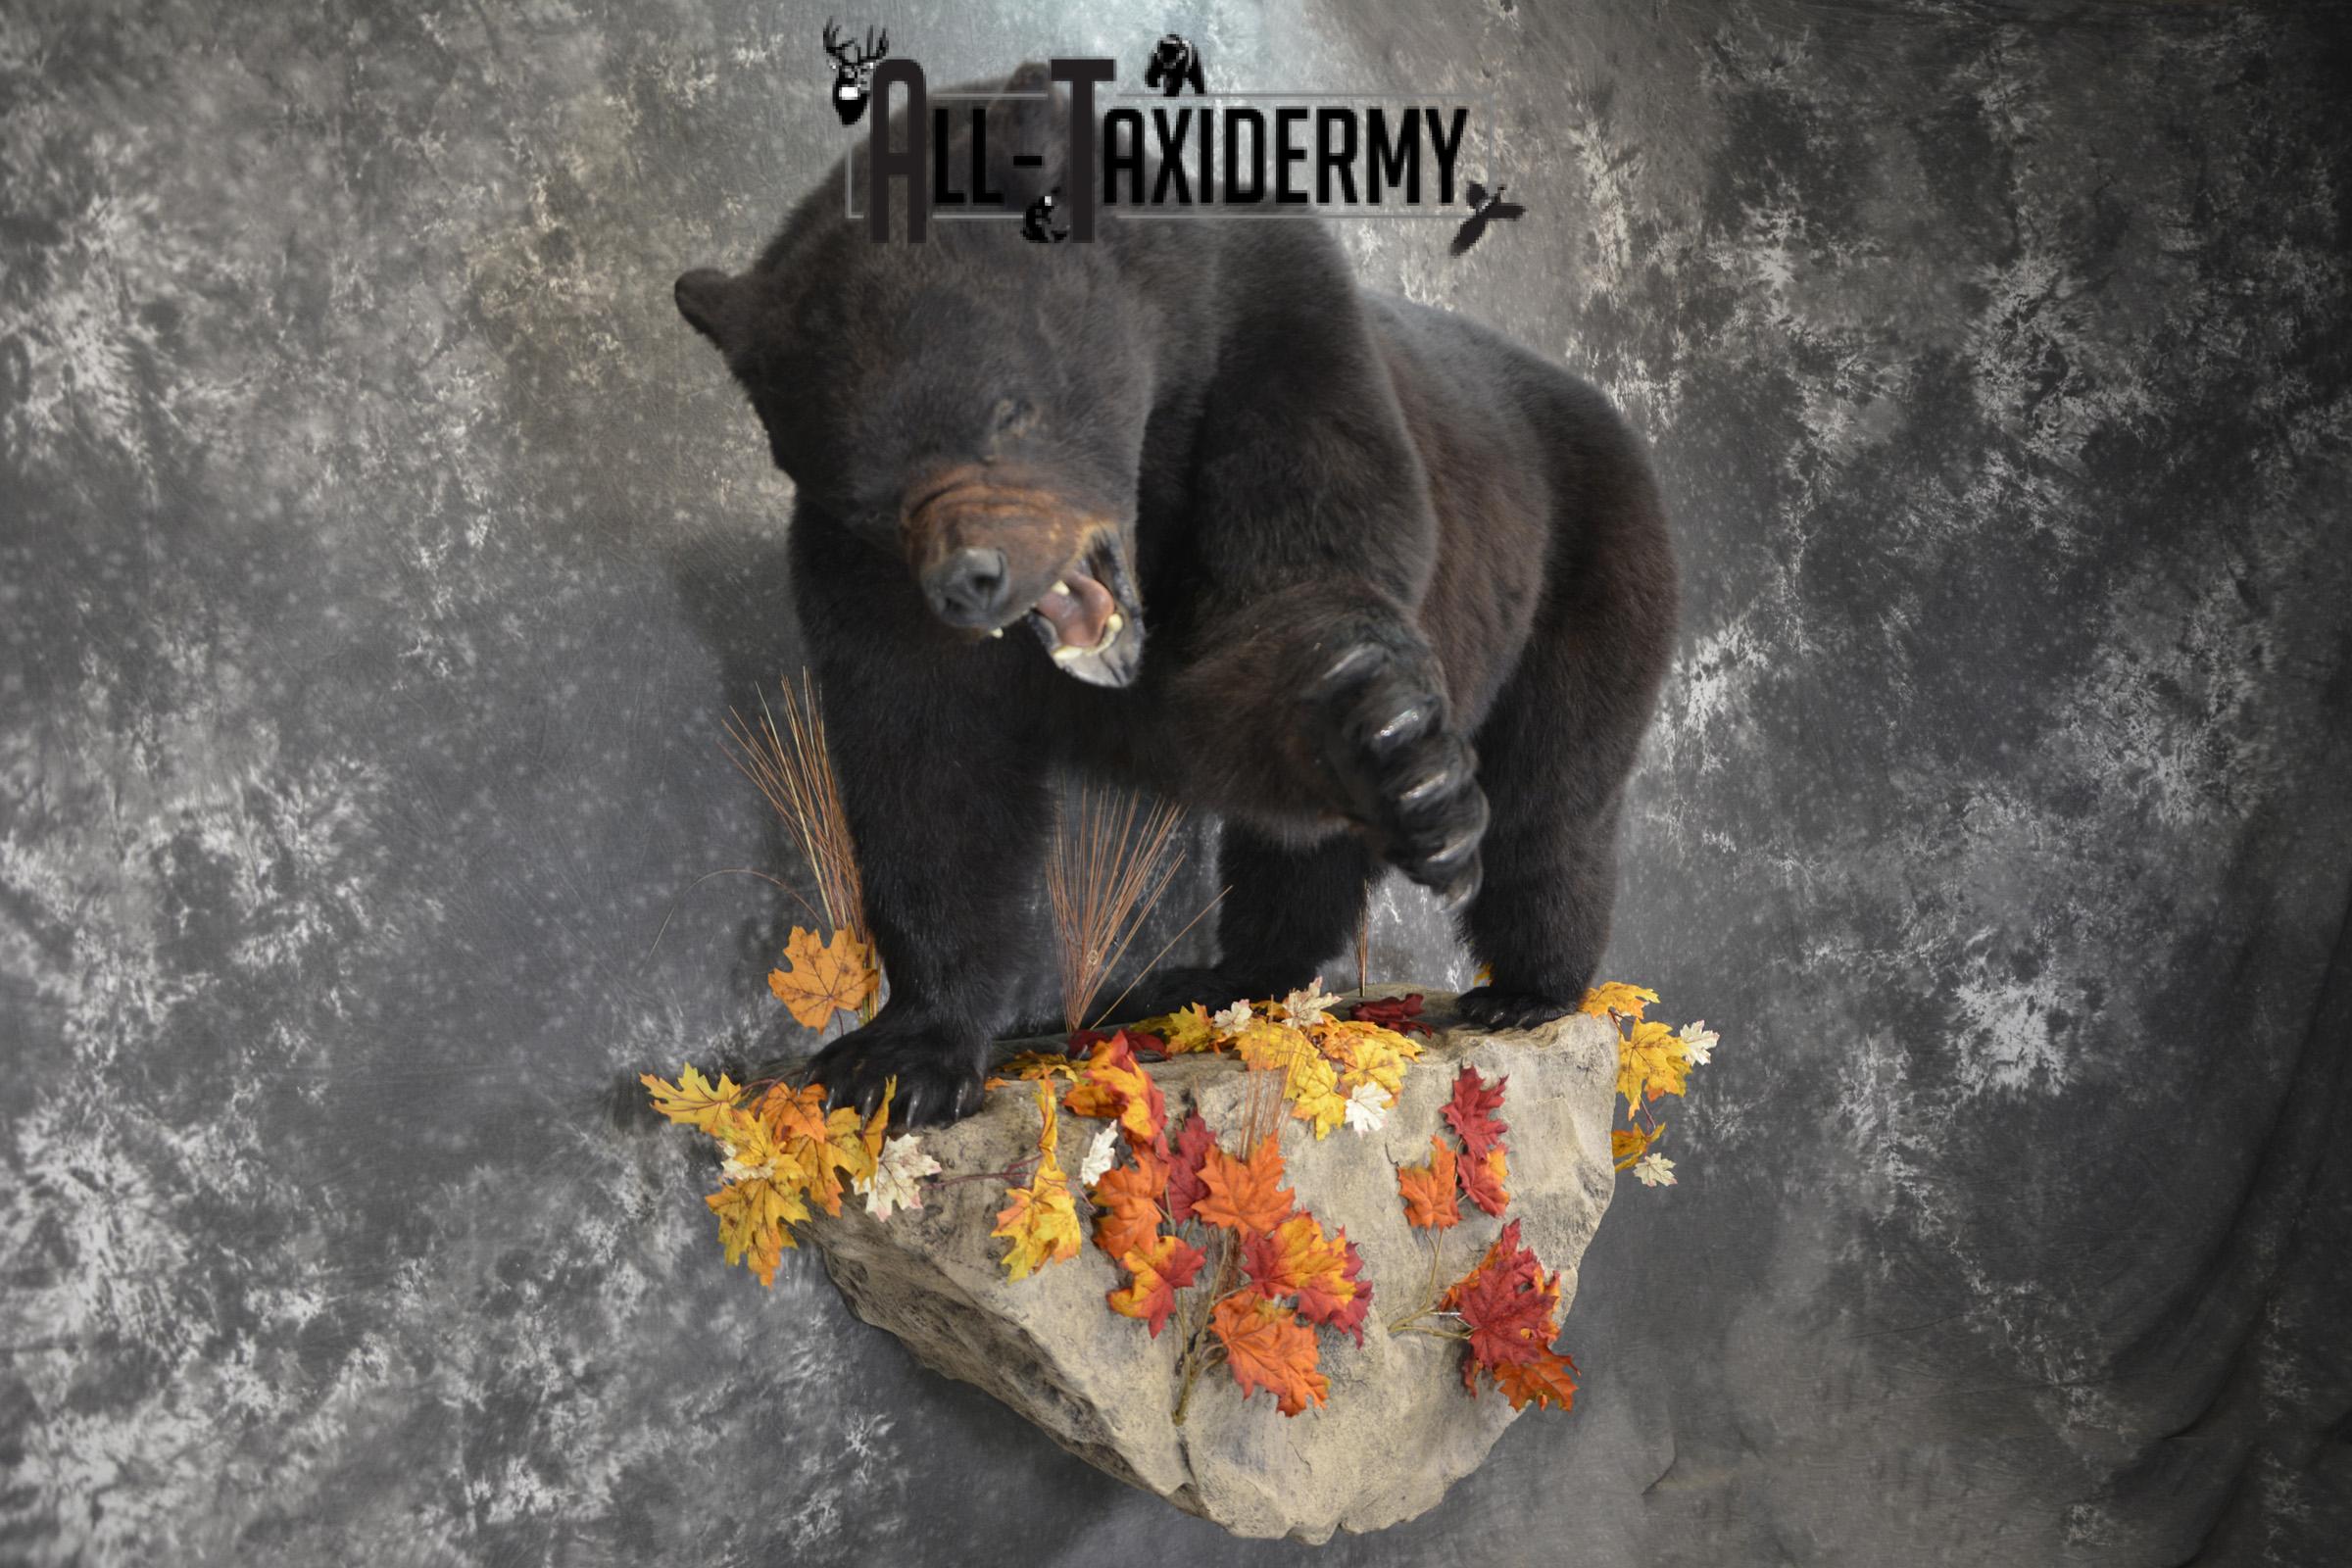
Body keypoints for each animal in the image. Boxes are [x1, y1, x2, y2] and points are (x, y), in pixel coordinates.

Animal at [673, 67, 1677, 1128]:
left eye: (1007, 409)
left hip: (1587, 566)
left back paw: (1523, 988)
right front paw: (895, 1060)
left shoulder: (1276, 361)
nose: (971, 581)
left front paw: (1393, 752)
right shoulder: (862, 583)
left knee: (1553, 796)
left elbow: (1293, 600)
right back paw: (1217, 974)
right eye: (867, 494)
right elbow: (927, 773)